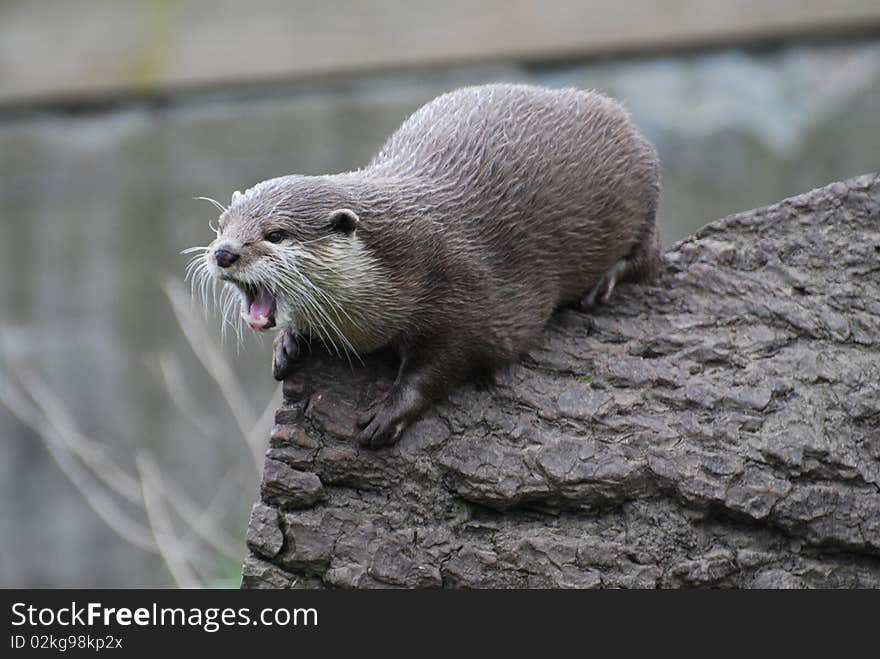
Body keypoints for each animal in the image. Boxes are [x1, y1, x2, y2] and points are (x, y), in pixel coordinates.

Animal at [191, 84, 660, 448]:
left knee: (647, 257)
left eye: (275, 235)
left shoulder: (468, 293)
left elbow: (448, 362)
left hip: (644, 186)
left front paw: (389, 413)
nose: (224, 253)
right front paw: (289, 342)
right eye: (222, 225)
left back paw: (604, 282)